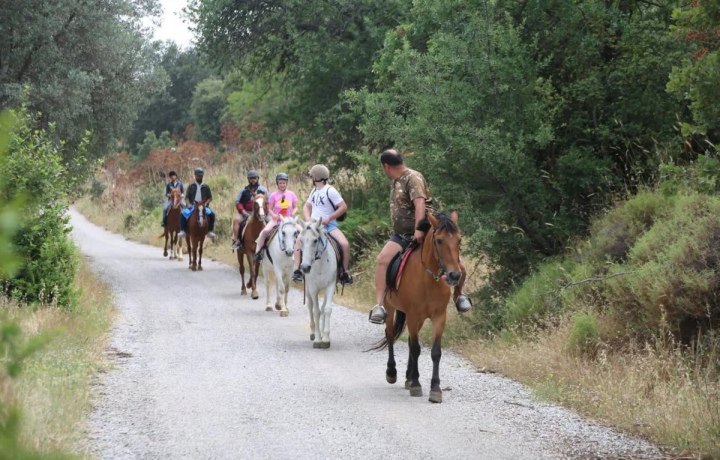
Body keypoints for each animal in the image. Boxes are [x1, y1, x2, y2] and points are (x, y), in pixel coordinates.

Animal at [298, 219, 339, 349]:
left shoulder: (330, 286)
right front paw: (317, 339)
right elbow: (316, 312)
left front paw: (325, 339)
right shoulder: (313, 288)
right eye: (301, 240)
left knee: (322, 308)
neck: (320, 263)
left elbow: (326, 309)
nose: (305, 267)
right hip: (308, 290)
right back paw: (313, 333)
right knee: (310, 307)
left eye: (315, 240)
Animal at [374, 211, 462, 404]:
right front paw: (416, 385)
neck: (429, 280)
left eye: (459, 240)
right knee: (390, 335)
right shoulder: (413, 315)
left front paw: (435, 389)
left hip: (417, 318)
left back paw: (408, 376)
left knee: (407, 341)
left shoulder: (439, 317)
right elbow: (416, 348)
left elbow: (435, 352)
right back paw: (392, 372)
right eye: (439, 241)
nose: (454, 275)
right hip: (391, 309)